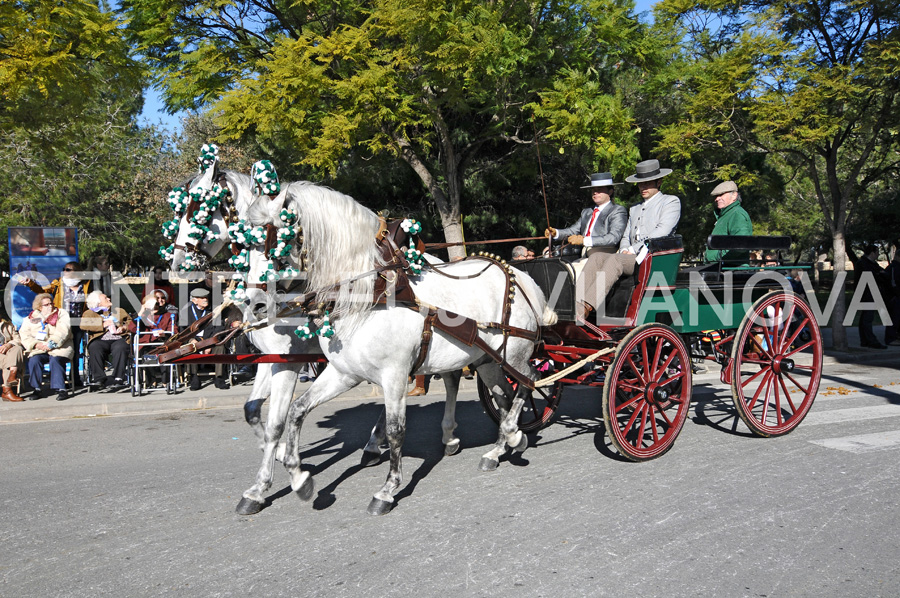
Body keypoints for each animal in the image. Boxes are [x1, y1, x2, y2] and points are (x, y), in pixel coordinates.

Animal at [246, 182, 556, 516]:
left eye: (276, 242)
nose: (254, 304)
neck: (373, 291)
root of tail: (522, 277)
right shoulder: (344, 373)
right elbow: (295, 412)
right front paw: (298, 477)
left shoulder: (394, 374)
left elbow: (396, 430)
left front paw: (387, 489)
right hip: (487, 359)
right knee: (504, 395)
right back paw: (499, 448)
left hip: (515, 353)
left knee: (531, 382)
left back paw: (512, 432)